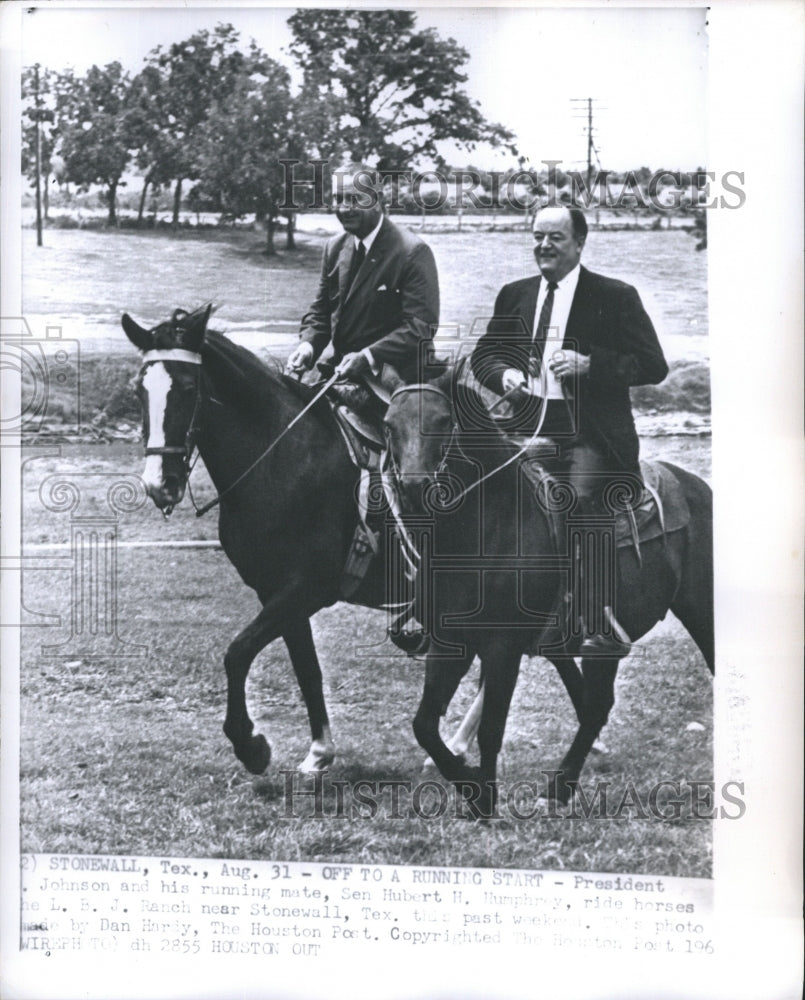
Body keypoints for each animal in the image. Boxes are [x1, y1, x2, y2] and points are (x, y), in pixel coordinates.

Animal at [384, 372, 716, 816]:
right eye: (389, 425)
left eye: (441, 421)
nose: (414, 489)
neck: (486, 530)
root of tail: (696, 486)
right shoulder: (450, 641)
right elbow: (423, 725)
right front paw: (473, 789)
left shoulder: (501, 647)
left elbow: (492, 729)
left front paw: (485, 796)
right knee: (595, 707)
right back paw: (560, 786)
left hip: (702, 613)